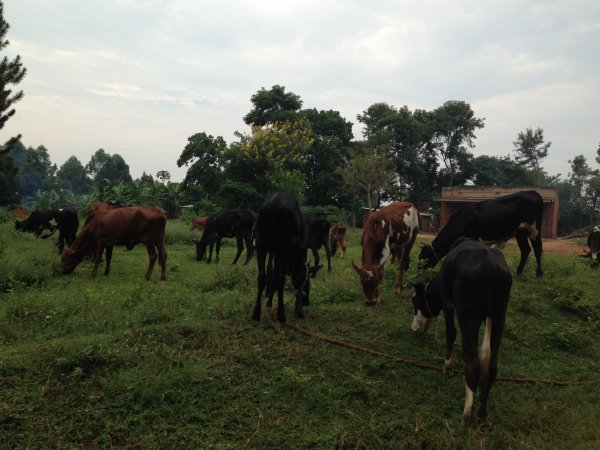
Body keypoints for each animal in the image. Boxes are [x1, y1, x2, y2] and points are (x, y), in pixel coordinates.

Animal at [412, 239, 510, 426]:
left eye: (415, 302)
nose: (413, 329)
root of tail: (492, 266)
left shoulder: (447, 303)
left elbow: (450, 333)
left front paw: (448, 367)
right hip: (499, 317)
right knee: (491, 366)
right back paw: (481, 415)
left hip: (468, 317)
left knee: (472, 363)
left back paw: (466, 416)